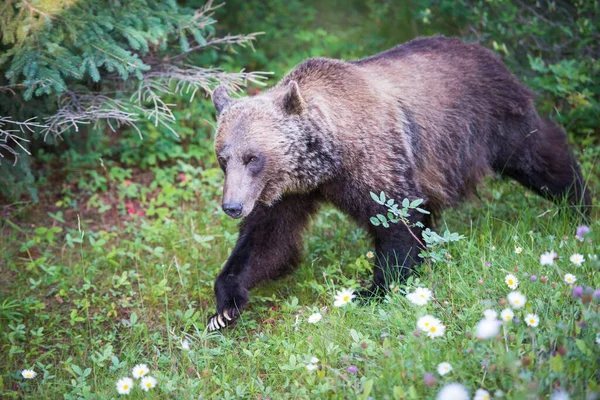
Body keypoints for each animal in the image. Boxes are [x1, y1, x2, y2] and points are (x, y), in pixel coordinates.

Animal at [204, 36, 588, 332]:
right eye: (223, 157)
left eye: (253, 157)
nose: (232, 206)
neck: (328, 159)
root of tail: (485, 50)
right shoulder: (290, 193)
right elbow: (269, 242)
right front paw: (225, 307)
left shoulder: (375, 159)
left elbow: (396, 221)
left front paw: (374, 290)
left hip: (491, 120)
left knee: (537, 154)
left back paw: (578, 201)